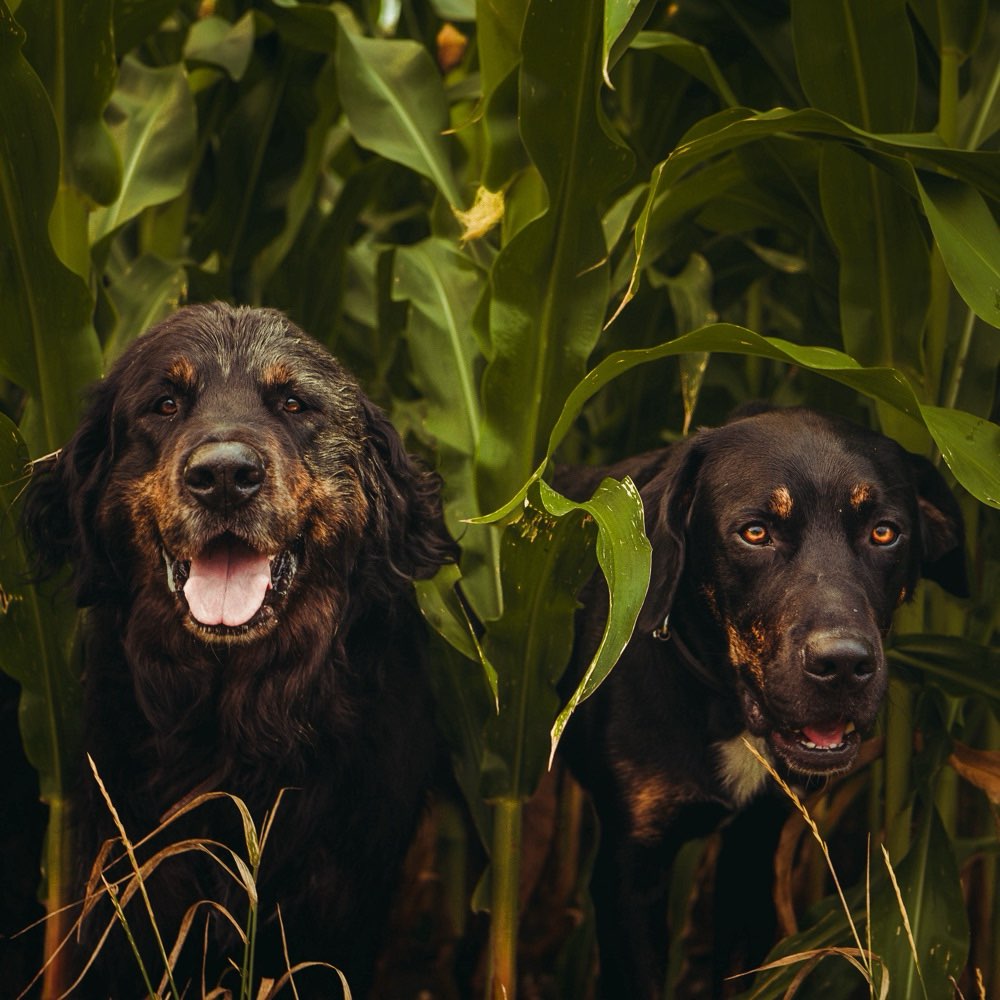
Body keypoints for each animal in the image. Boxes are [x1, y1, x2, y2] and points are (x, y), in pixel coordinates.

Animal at [560, 408, 964, 1000]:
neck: (723, 708)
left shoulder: (755, 848)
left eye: (883, 532)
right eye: (755, 533)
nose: (842, 664)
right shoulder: (629, 870)